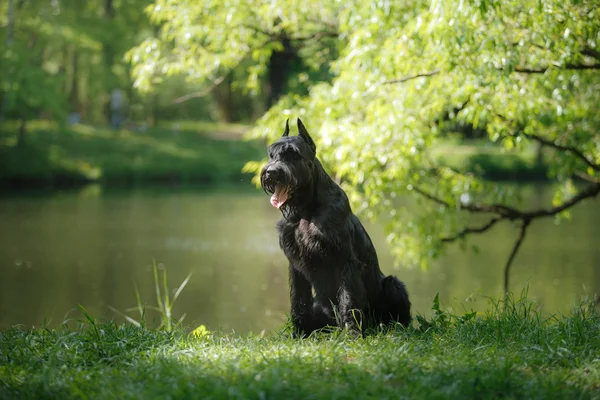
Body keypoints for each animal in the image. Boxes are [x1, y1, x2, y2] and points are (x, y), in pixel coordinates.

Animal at [260, 117, 410, 336]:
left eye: (293, 154)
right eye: (272, 154)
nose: (271, 172)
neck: (306, 210)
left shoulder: (345, 261)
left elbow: (348, 300)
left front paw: (352, 333)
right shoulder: (296, 265)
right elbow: (298, 301)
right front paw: (299, 334)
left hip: (393, 285)